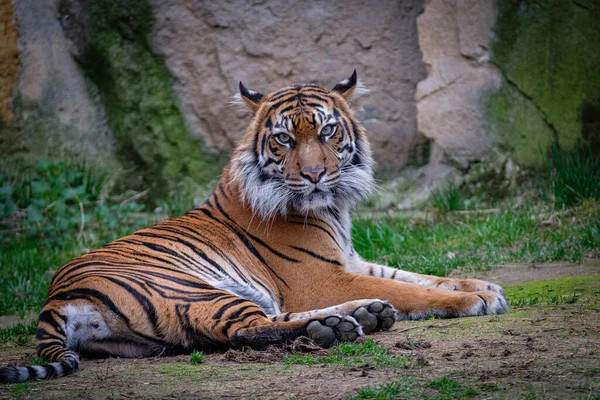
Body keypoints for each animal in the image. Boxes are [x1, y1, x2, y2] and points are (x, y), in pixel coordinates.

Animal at [0, 70, 508, 382]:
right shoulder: (321, 276)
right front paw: (472, 301)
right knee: (247, 330)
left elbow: (418, 276)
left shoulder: (350, 260)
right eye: (283, 138)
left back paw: (362, 315)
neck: (331, 208)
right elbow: (414, 289)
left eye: (327, 131)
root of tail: (53, 300)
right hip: (193, 288)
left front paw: (483, 286)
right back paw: (339, 326)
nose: (315, 174)